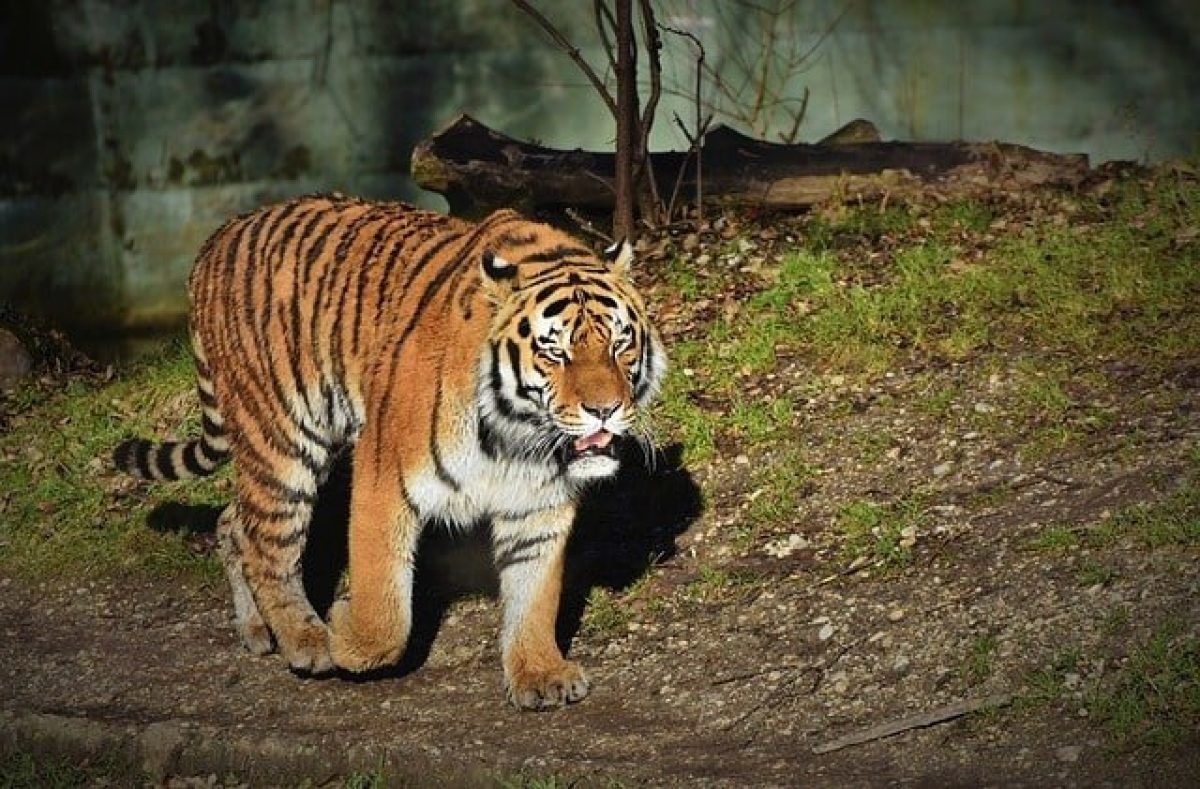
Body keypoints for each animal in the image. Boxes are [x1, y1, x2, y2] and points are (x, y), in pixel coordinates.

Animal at [113, 194, 666, 709]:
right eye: (555, 351)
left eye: (620, 344)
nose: (605, 409)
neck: (517, 433)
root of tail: (217, 238)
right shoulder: (384, 474)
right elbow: (386, 609)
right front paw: (344, 633)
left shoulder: (538, 502)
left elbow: (535, 595)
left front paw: (539, 673)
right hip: (283, 440)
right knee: (269, 545)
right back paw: (306, 640)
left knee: (234, 521)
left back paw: (257, 631)